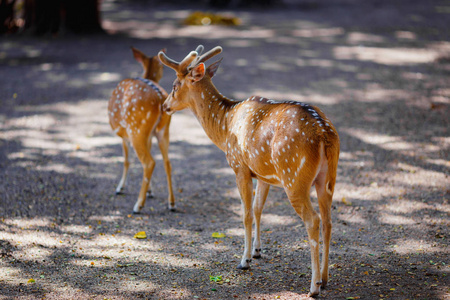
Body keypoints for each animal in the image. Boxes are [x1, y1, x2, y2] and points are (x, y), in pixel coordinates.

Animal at [108, 47, 175, 213]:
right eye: (162, 67)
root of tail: (160, 99)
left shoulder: (124, 135)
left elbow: (126, 160)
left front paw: (120, 188)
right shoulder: (149, 136)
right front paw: (150, 191)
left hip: (135, 129)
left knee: (149, 162)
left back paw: (138, 205)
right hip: (164, 130)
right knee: (167, 162)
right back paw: (171, 203)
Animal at [160, 44, 340, 296]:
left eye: (174, 85)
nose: (164, 105)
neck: (225, 125)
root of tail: (324, 134)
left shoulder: (240, 167)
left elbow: (245, 213)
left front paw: (243, 260)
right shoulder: (263, 174)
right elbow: (257, 209)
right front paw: (257, 251)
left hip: (294, 177)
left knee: (312, 220)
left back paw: (313, 286)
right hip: (328, 178)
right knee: (328, 220)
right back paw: (324, 278)